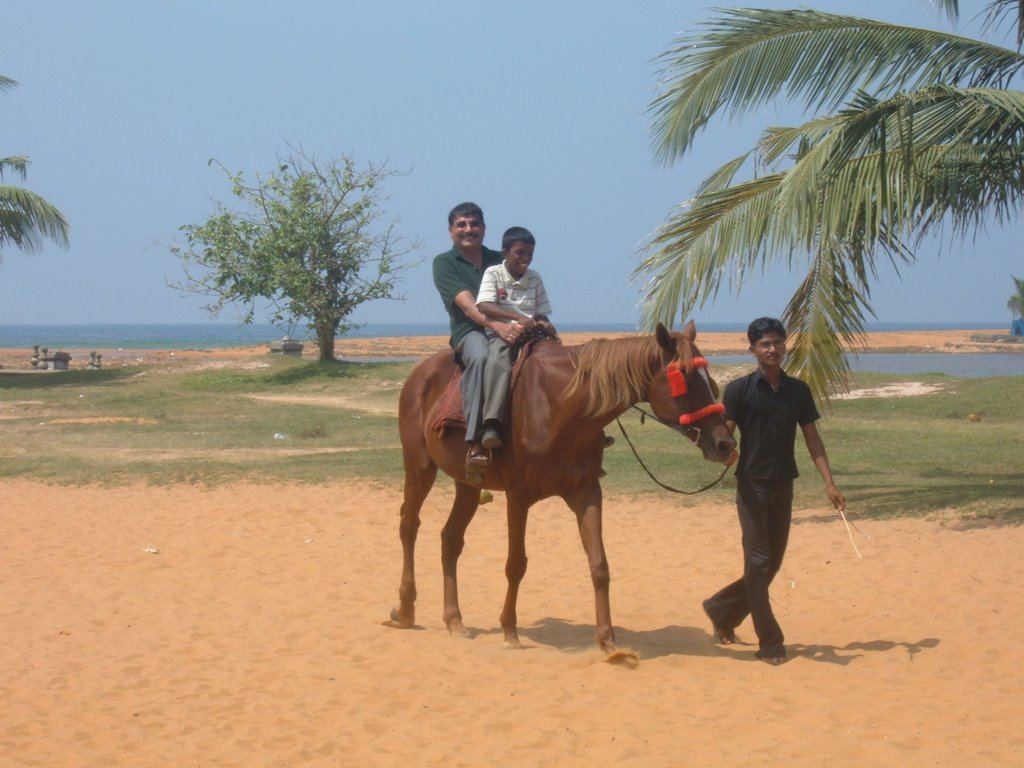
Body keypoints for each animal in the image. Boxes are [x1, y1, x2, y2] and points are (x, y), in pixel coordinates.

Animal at [385, 323, 737, 663]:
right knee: (408, 525)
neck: (560, 408)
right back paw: (405, 609)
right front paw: (509, 632)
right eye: (685, 378)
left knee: (450, 539)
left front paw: (609, 644)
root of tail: (420, 373)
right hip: (420, 468)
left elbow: (599, 565)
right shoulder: (518, 496)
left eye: (710, 380)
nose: (725, 444)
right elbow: (516, 564)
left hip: (468, 485)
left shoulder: (587, 492)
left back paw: (454, 620)